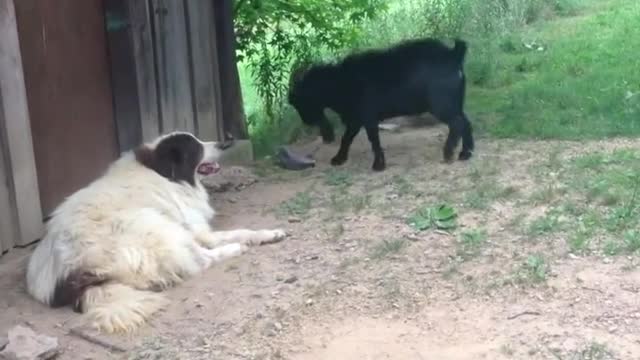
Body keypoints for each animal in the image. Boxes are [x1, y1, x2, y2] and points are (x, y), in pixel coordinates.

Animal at [25, 131, 284, 334]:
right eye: (196, 148)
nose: (225, 143)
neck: (164, 173)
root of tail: (75, 275)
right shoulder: (197, 231)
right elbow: (238, 232)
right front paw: (262, 235)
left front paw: (269, 234)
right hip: (154, 225)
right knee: (201, 261)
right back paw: (235, 250)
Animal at [288, 38, 472, 172]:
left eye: (299, 101)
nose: (306, 121)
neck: (341, 81)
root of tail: (453, 55)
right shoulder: (355, 119)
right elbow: (346, 138)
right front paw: (339, 158)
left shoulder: (368, 117)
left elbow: (373, 140)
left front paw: (378, 164)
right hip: (454, 102)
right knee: (466, 122)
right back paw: (466, 153)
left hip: (442, 104)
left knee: (457, 123)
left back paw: (448, 153)